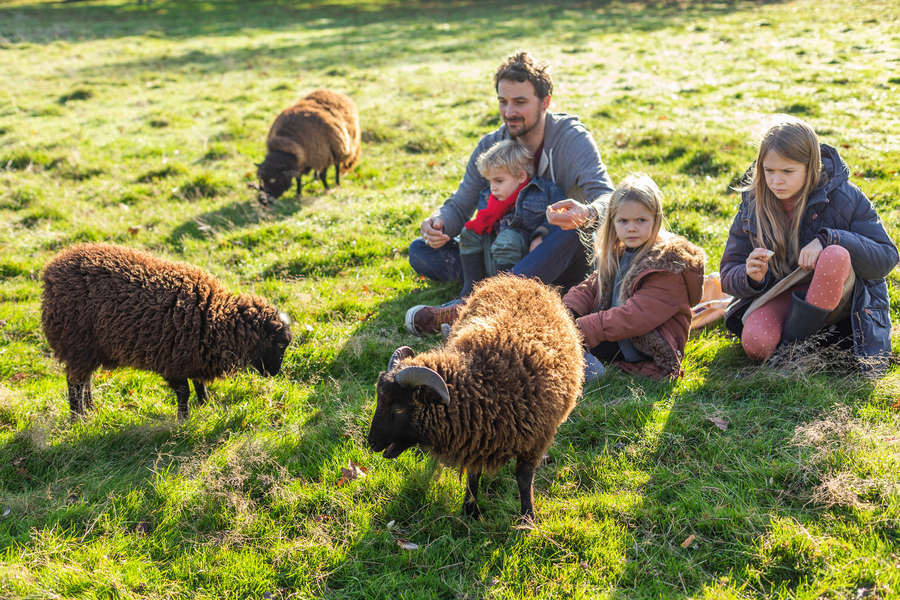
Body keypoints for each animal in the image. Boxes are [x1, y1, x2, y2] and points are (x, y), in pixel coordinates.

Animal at [42, 243, 292, 422]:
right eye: (279, 345)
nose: (274, 373)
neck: (214, 316)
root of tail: (51, 270)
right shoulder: (173, 362)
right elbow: (184, 392)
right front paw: (184, 420)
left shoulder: (195, 356)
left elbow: (199, 383)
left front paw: (206, 404)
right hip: (77, 344)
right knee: (74, 383)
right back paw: (78, 419)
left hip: (89, 350)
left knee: (85, 381)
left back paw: (91, 409)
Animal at [368, 274, 584, 524]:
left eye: (399, 409)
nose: (371, 443)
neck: (482, 383)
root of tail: (519, 279)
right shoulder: (477, 436)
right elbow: (474, 473)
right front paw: (470, 510)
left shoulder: (534, 441)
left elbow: (523, 478)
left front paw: (527, 519)